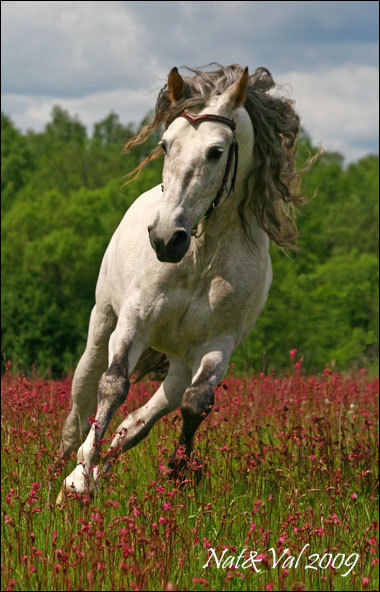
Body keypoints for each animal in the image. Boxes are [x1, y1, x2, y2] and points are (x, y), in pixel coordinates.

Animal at [56, 65, 310, 500]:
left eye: (216, 151)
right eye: (165, 144)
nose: (165, 239)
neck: (200, 258)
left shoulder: (217, 346)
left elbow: (197, 402)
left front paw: (178, 471)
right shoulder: (134, 322)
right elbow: (113, 386)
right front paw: (79, 477)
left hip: (176, 366)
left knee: (135, 425)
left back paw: (99, 474)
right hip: (102, 327)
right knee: (80, 406)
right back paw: (63, 480)